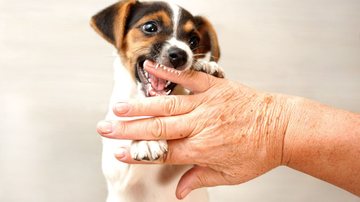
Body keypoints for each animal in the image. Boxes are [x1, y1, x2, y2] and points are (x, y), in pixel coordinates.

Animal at [90, 0, 222, 201]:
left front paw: (207, 66)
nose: (180, 55)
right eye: (150, 27)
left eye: (193, 41)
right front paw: (146, 141)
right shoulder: (115, 168)